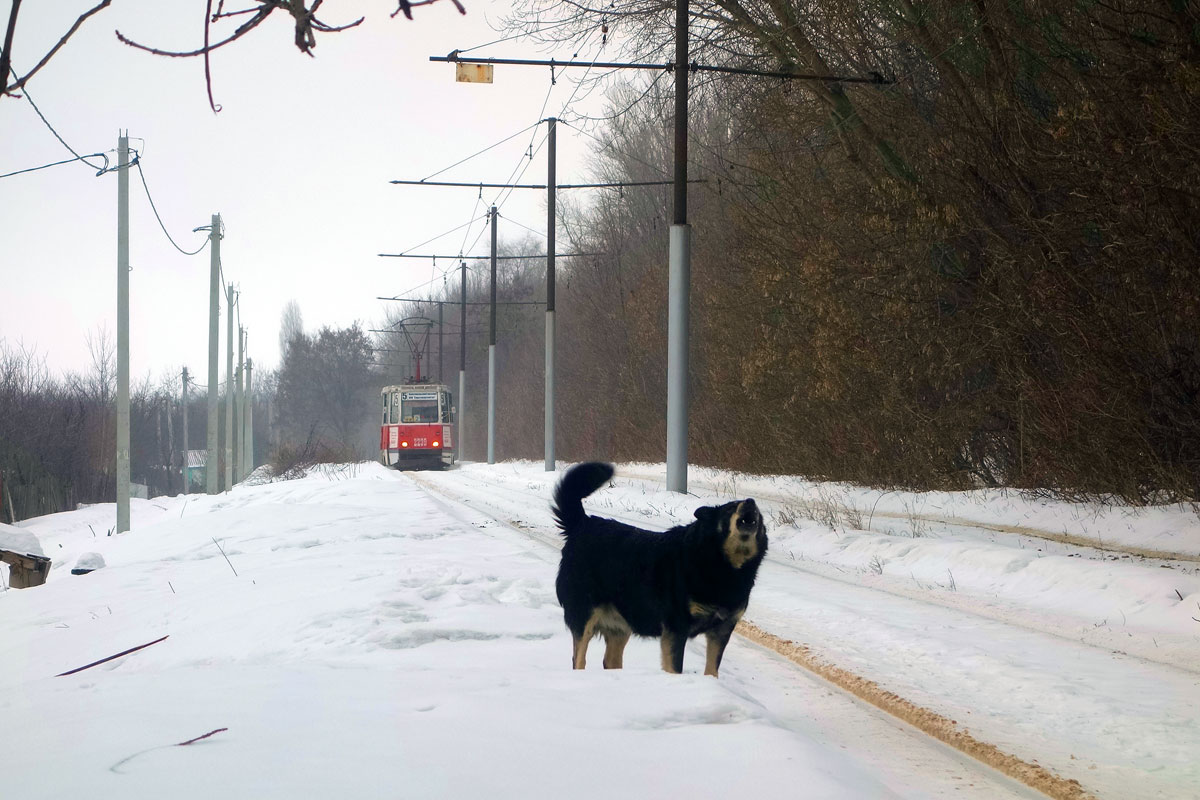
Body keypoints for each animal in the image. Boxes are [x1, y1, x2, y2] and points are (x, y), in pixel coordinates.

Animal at [552, 462, 768, 676]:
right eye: (730, 508)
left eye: (760, 513)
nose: (751, 502)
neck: (722, 564)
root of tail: (582, 524)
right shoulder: (676, 628)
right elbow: (675, 668)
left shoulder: (721, 631)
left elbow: (712, 669)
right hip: (584, 615)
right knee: (578, 658)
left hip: (621, 624)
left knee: (610, 660)